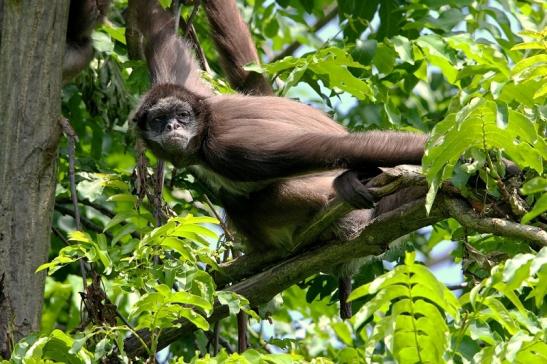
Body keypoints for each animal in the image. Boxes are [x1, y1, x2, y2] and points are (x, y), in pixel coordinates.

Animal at [131, 0, 426, 318]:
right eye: (159, 120)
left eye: (182, 116)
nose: (172, 127)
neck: (206, 125)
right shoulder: (188, 88)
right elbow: (162, 38)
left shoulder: (228, 148)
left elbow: (329, 149)